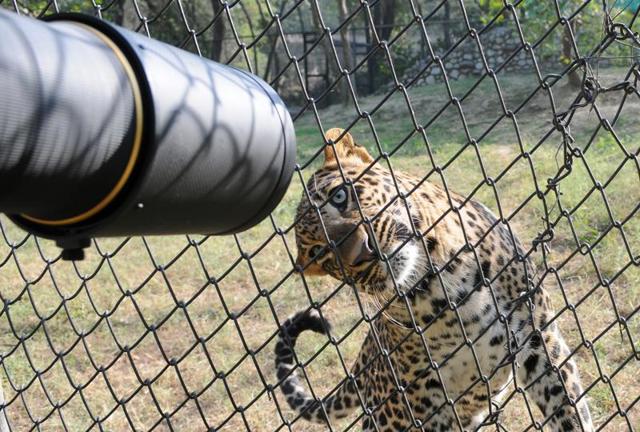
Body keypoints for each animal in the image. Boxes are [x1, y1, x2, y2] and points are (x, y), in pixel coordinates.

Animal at [274, 128, 593, 431]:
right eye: (320, 253)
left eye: (339, 196)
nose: (360, 254)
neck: (444, 281)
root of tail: (368, 349)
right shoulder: (417, 404)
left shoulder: (541, 341)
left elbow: (572, 413)